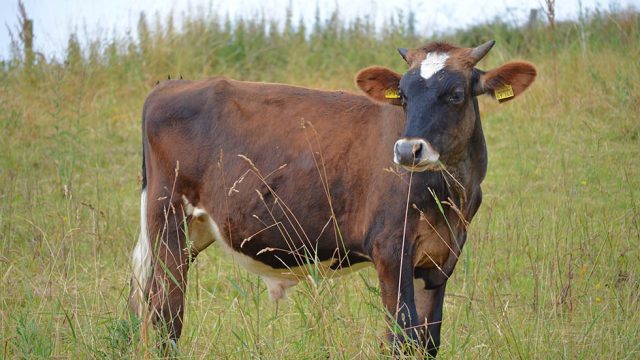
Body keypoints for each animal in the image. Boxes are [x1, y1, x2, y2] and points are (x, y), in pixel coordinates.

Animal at [129, 40, 536, 356]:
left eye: (455, 95)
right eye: (403, 97)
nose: (407, 150)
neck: (450, 197)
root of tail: (170, 86)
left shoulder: (439, 260)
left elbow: (427, 342)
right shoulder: (391, 249)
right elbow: (401, 339)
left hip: (192, 230)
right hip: (167, 220)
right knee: (166, 317)